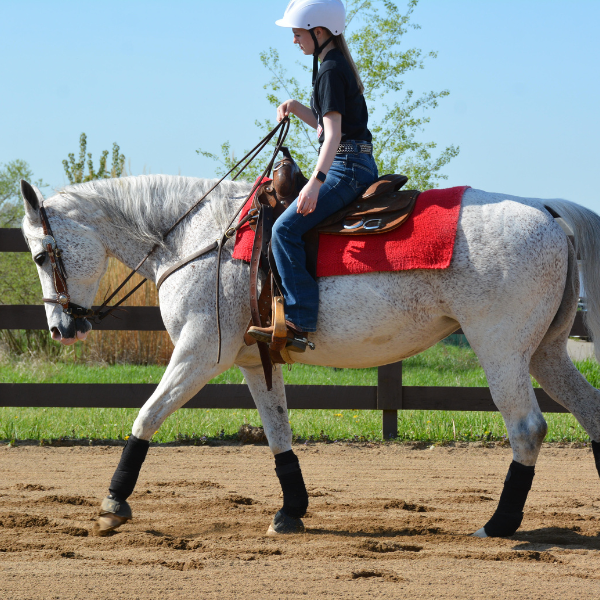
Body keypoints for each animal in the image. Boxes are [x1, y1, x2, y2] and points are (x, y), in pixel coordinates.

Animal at [18, 173, 600, 540]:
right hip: (547, 352)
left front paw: (113, 505)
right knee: (590, 413)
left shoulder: (200, 354)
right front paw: (290, 512)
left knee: (527, 429)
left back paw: (498, 525)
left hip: (501, 350)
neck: (199, 238)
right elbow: (278, 433)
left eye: (43, 255)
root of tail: (547, 210)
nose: (60, 328)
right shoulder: (255, 360)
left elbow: (146, 416)